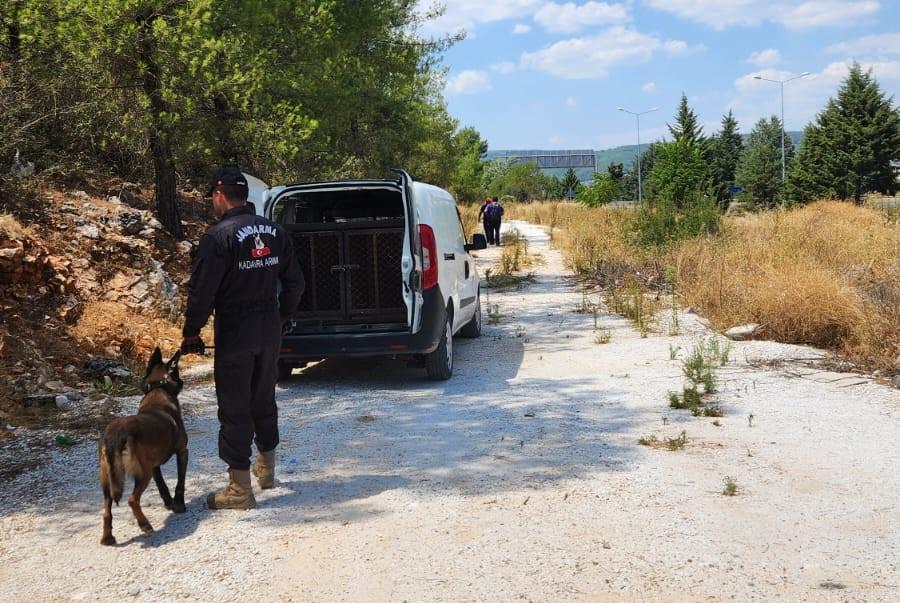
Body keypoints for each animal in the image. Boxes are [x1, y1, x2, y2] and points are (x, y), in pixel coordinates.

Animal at [98, 346, 188, 544]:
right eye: (177, 372)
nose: (182, 381)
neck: (159, 388)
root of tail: (116, 435)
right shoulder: (183, 452)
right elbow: (180, 482)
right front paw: (178, 504)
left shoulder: (154, 466)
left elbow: (162, 485)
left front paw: (169, 503)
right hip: (142, 474)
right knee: (132, 499)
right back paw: (144, 524)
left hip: (108, 480)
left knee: (107, 509)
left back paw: (107, 537)